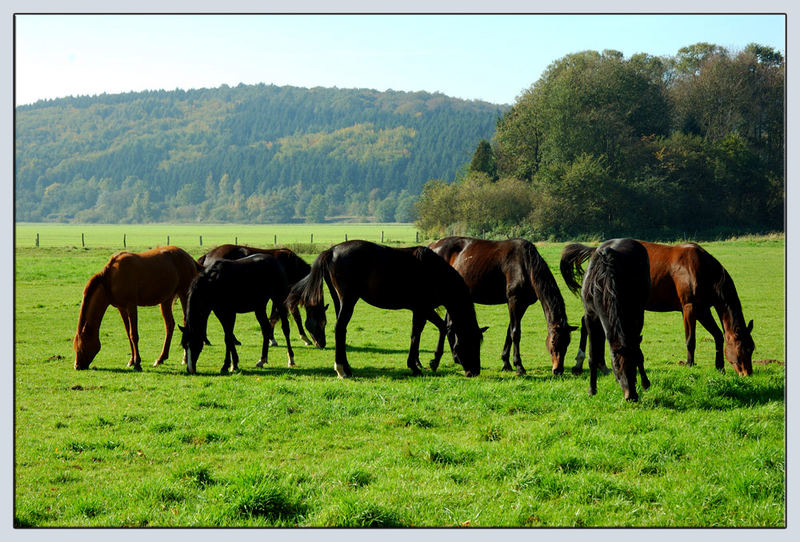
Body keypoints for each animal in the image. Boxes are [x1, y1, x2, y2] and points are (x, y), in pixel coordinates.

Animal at [74, 248, 202, 372]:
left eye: (82, 345)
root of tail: (190, 258)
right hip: (166, 300)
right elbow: (128, 332)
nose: (77, 366)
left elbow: (133, 334)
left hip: (184, 295)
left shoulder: (131, 306)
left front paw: (137, 363)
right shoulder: (121, 308)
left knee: (185, 322)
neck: (110, 279)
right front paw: (131, 360)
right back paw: (161, 358)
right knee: (169, 325)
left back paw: (185, 358)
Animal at [290, 240, 484, 380]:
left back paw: (347, 368)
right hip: (349, 300)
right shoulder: (423, 309)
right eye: (471, 343)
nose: (475, 371)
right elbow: (424, 332)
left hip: (340, 301)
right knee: (339, 328)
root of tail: (331, 251)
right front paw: (423, 364)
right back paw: (341, 370)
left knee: (341, 330)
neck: (433, 272)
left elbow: (425, 331)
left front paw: (424, 363)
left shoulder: (420, 310)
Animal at [432, 236, 576, 376]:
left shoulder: (523, 304)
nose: (558, 370)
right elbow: (515, 332)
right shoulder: (514, 301)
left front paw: (506, 363)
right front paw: (519, 366)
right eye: (553, 342)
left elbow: (509, 332)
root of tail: (433, 246)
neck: (525, 265)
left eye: (568, 342)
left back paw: (456, 357)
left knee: (449, 325)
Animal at [560, 240, 652, 402]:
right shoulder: (591, 316)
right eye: (616, 364)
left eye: (633, 364)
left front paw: (644, 382)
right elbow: (592, 354)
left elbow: (637, 350)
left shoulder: (636, 314)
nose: (631, 396)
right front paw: (592, 389)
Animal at [560, 242, 752, 378]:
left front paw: (720, 367)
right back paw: (582, 364)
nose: (747, 374)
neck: (701, 269)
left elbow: (718, 335)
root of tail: (596, 252)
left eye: (752, 348)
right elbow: (690, 340)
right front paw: (689, 364)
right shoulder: (689, 308)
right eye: (742, 350)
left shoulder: (703, 309)